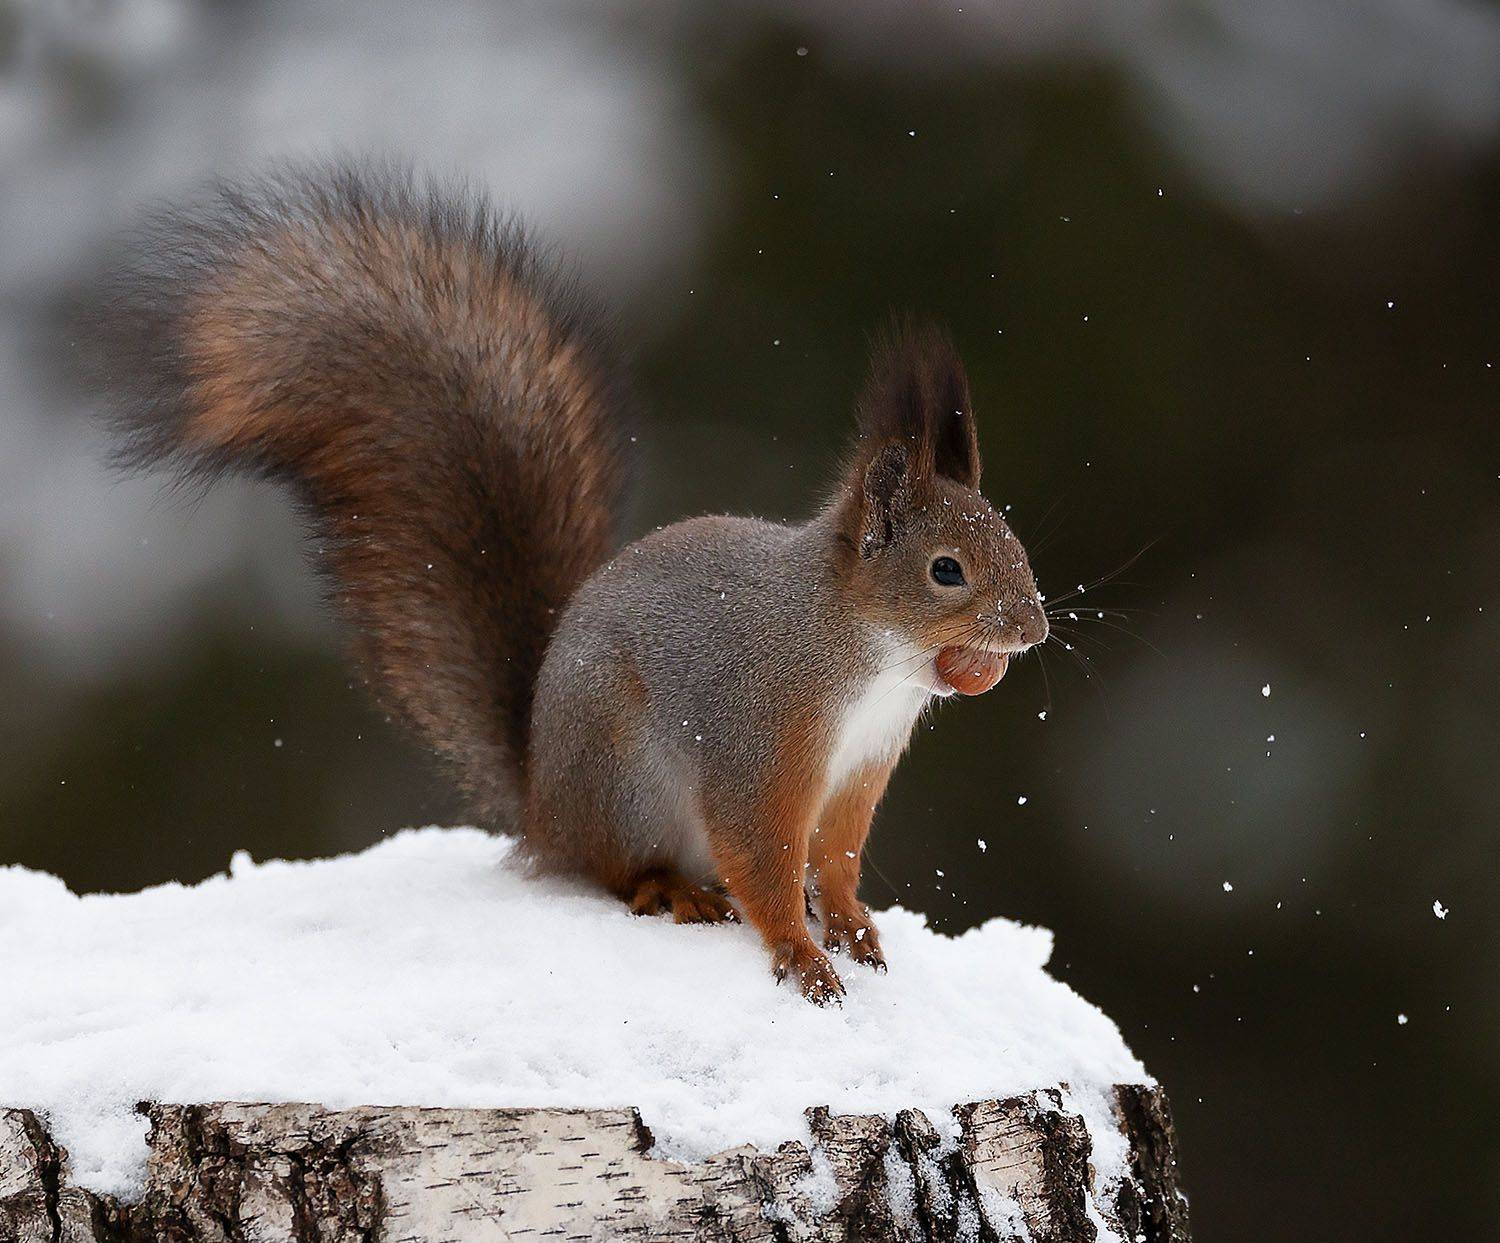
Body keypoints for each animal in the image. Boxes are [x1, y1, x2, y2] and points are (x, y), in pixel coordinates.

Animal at [90, 164, 1048, 1004]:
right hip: (621, 774)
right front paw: (801, 958)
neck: (867, 660)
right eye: (946, 570)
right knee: (612, 870)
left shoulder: (859, 775)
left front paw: (850, 927)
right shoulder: (760, 744)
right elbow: (763, 857)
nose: (1034, 629)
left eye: (1015, 541)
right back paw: (670, 888)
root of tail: (542, 807)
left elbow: (837, 861)